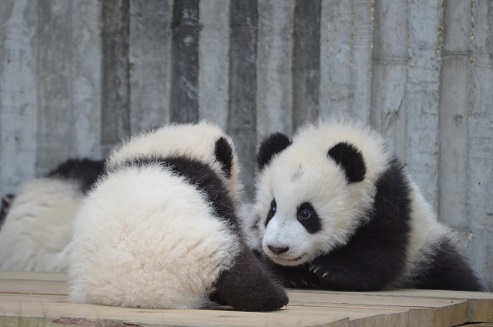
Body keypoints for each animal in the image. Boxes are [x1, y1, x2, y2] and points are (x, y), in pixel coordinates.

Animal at [250, 120, 484, 292]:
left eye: (306, 213)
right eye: (272, 209)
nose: (278, 248)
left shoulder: (389, 199)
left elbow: (380, 251)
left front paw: (329, 271)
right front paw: (297, 277)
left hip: (427, 251)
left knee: (452, 274)